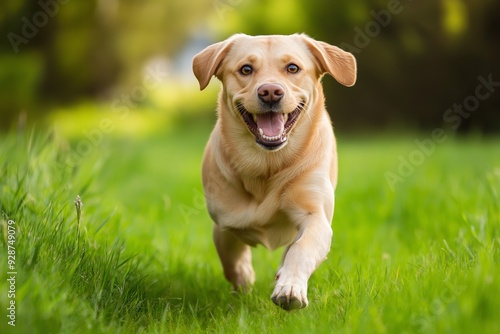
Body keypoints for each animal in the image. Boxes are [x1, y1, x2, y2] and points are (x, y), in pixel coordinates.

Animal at [191, 34, 356, 310]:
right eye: (246, 69)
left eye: (292, 68)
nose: (270, 92)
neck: (267, 164)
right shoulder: (224, 222)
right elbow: (230, 258)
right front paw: (244, 279)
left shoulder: (315, 216)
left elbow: (301, 249)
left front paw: (290, 288)